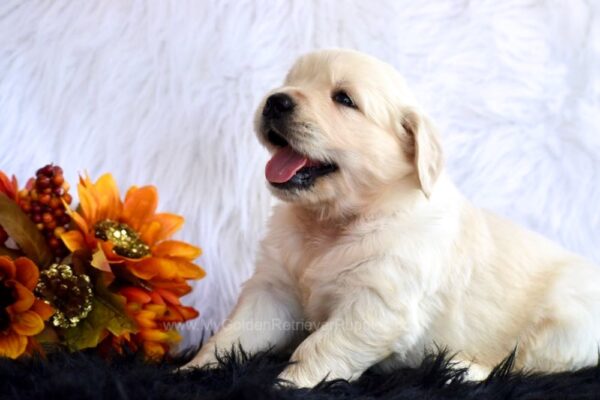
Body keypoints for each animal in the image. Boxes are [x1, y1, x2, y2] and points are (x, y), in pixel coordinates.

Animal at [186, 48, 600, 386]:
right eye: (292, 81)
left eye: (343, 98)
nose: (275, 100)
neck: (331, 222)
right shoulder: (273, 289)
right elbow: (235, 333)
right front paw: (194, 369)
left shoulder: (377, 303)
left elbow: (319, 346)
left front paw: (288, 385)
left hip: (565, 327)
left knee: (523, 365)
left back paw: (460, 369)